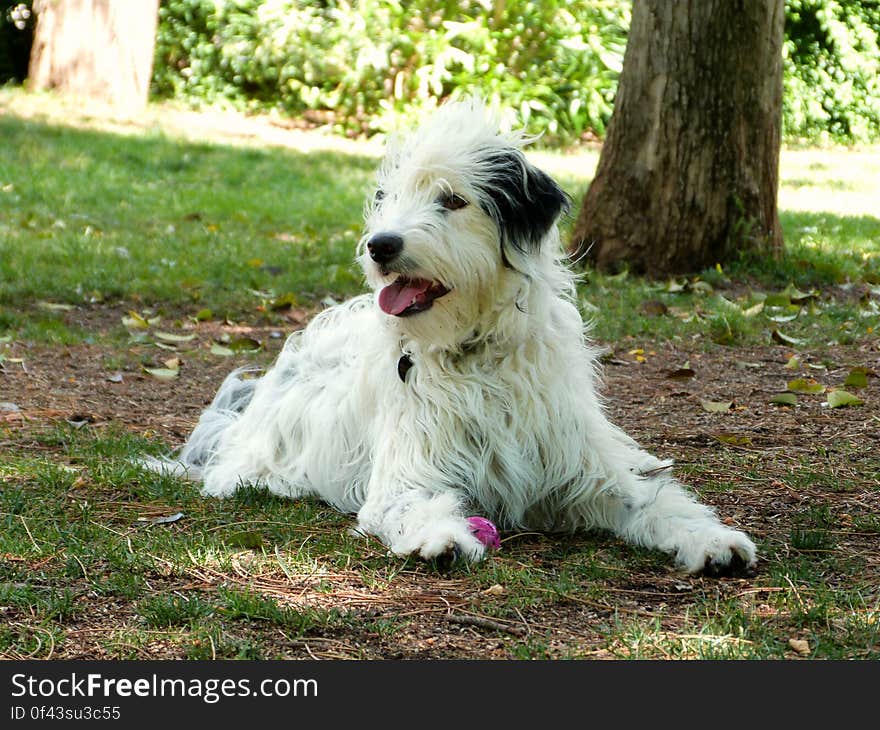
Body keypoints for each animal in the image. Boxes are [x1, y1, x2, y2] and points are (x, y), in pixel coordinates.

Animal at [156, 98, 756, 576]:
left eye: (452, 200)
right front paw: (441, 536)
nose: (380, 246)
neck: (475, 352)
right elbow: (413, 504)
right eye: (392, 198)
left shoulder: (582, 469)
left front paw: (712, 539)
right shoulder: (407, 475)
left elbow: (651, 501)